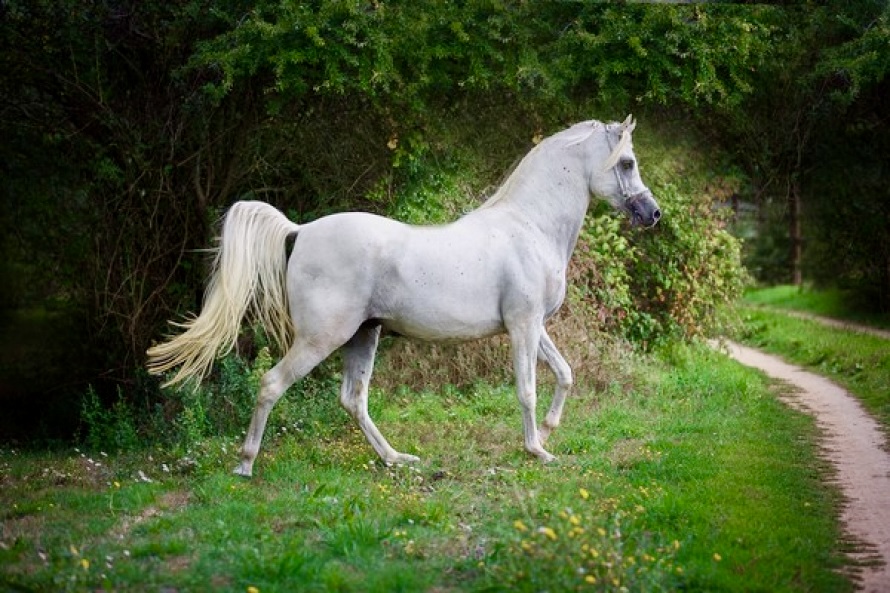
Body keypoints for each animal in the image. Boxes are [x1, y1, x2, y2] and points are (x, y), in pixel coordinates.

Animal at [147, 115, 661, 476]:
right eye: (627, 162)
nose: (652, 214)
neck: (529, 226)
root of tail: (301, 230)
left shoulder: (534, 325)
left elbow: (566, 374)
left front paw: (549, 434)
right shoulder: (522, 326)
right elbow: (527, 389)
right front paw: (537, 450)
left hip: (363, 336)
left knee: (353, 400)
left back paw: (396, 459)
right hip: (322, 338)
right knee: (272, 384)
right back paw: (246, 463)